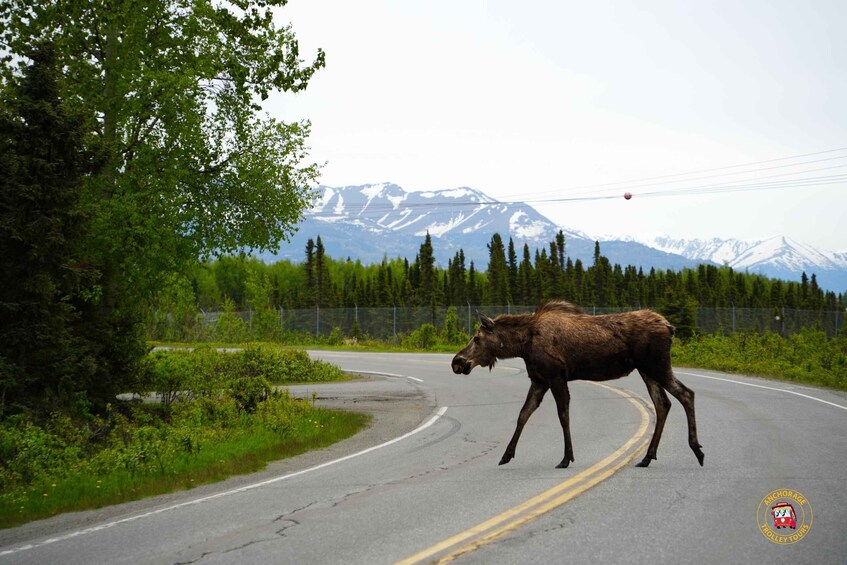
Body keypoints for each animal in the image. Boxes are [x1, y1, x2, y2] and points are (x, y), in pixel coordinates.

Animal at [454, 302, 704, 470]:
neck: (522, 345)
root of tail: (670, 327)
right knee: (663, 403)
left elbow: (563, 415)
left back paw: (696, 450)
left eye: (477, 338)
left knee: (686, 394)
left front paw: (566, 458)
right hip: (647, 370)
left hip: (656, 366)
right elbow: (523, 414)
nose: (457, 361)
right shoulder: (539, 380)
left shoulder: (555, 376)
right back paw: (647, 457)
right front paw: (506, 455)